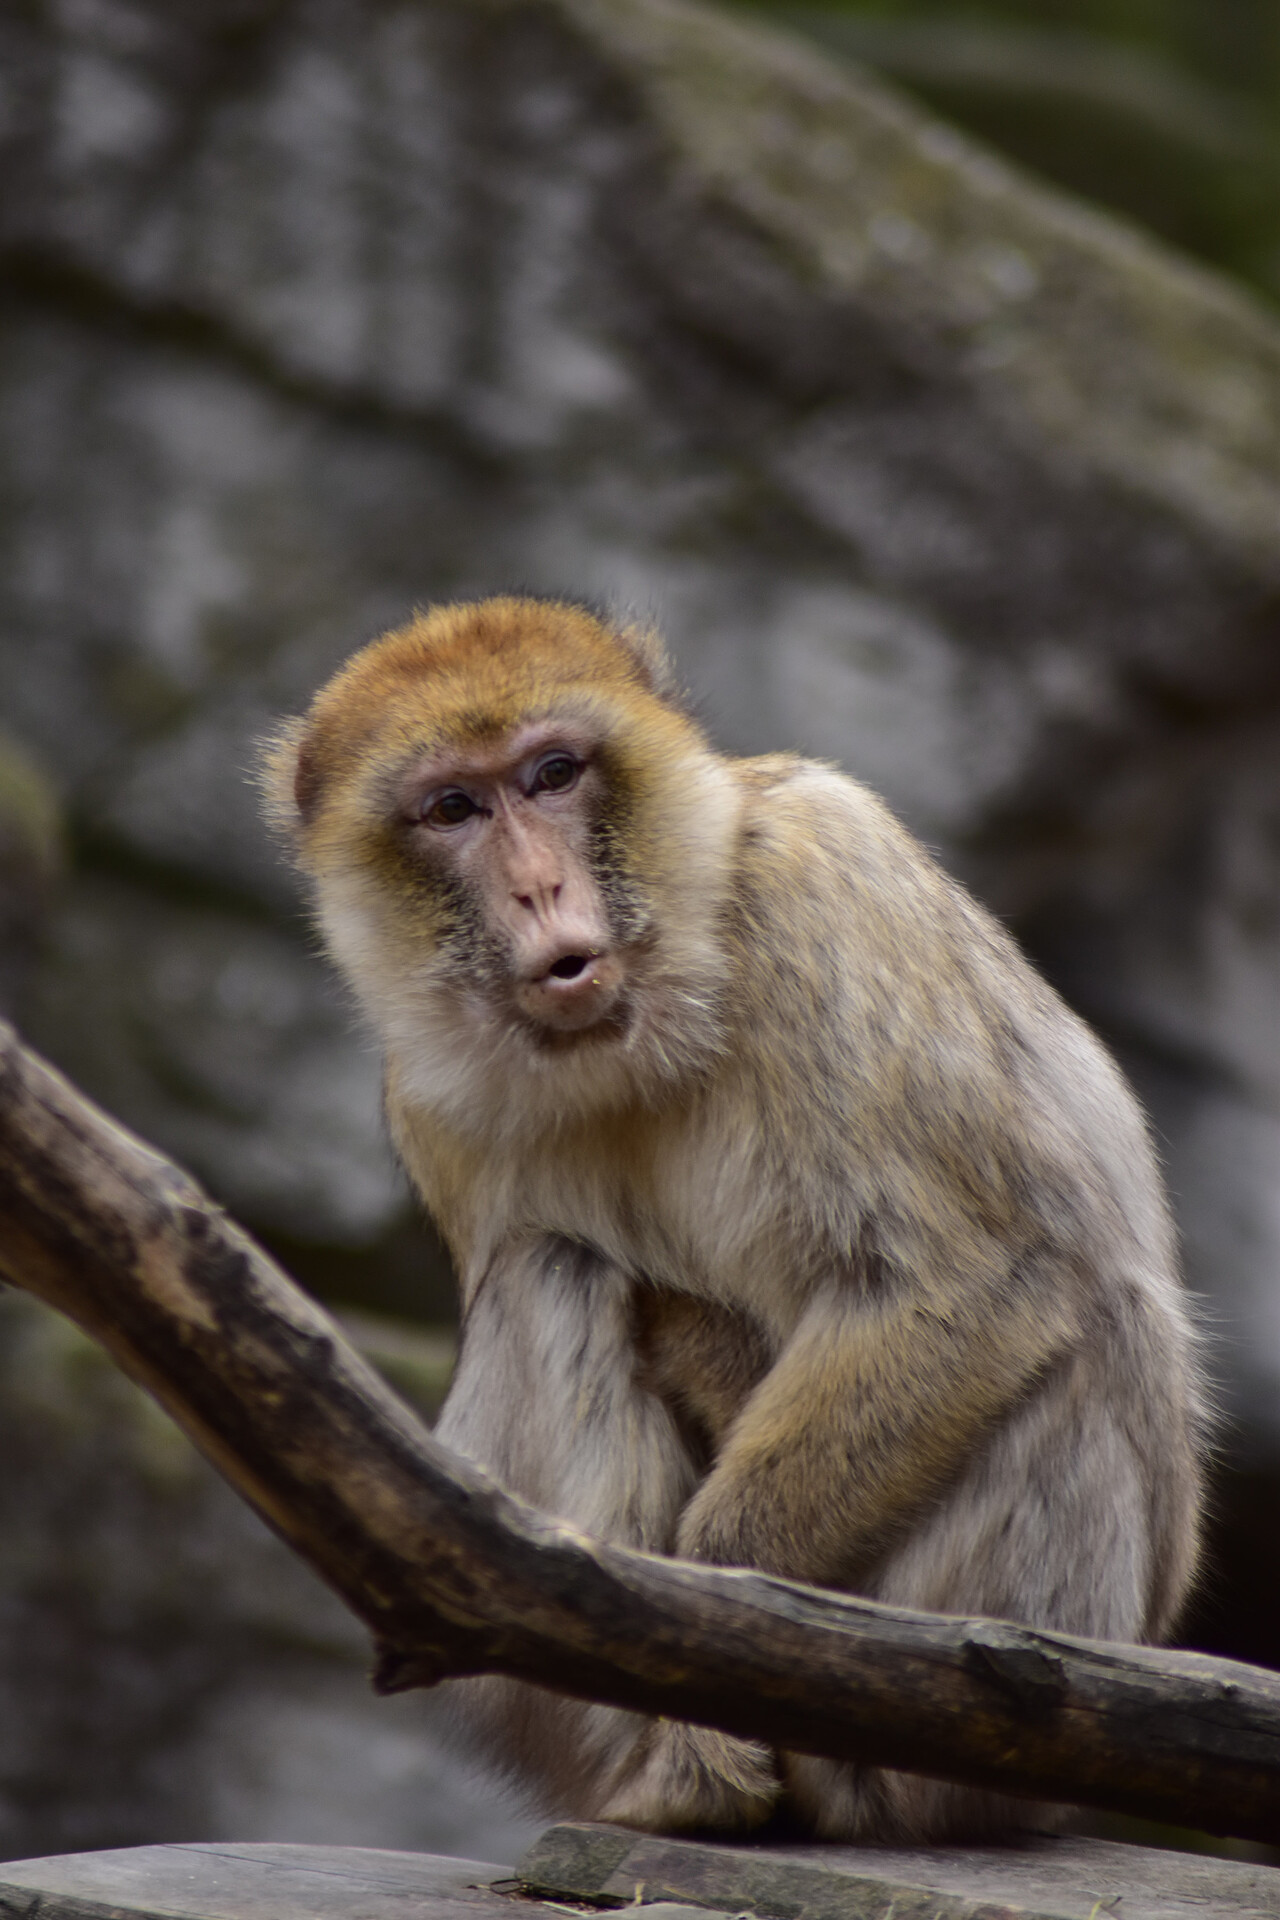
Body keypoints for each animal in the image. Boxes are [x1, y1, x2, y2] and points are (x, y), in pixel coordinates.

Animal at [264, 599, 1205, 1843]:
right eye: (453, 808)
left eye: (553, 774)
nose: (536, 891)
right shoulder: (421, 1089)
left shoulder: (823, 871)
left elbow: (971, 1279)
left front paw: (712, 1643)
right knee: (548, 1269)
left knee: (1094, 1324)